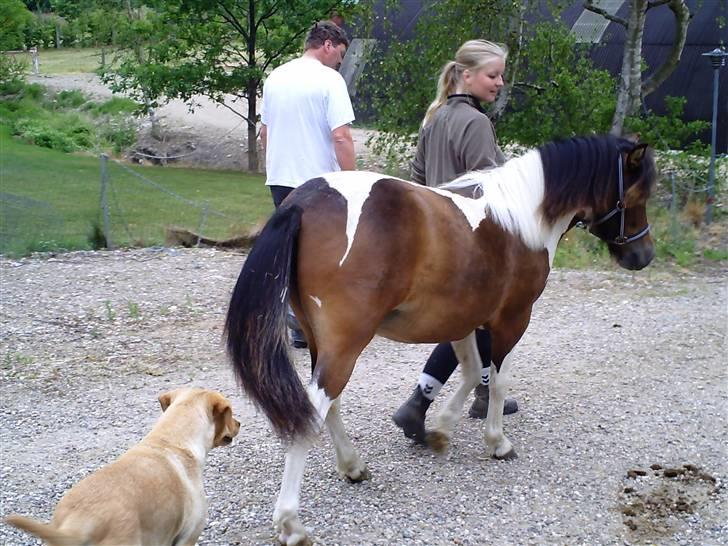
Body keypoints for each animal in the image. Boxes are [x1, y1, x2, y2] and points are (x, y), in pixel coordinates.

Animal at [225, 134, 656, 540]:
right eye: (639, 195)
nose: (644, 257)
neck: (522, 216)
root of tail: (303, 201)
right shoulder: (513, 320)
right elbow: (497, 381)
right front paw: (497, 442)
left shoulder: (461, 321)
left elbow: (471, 372)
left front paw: (440, 430)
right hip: (345, 345)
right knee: (313, 412)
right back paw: (291, 522)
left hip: (322, 343)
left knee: (326, 406)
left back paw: (352, 466)